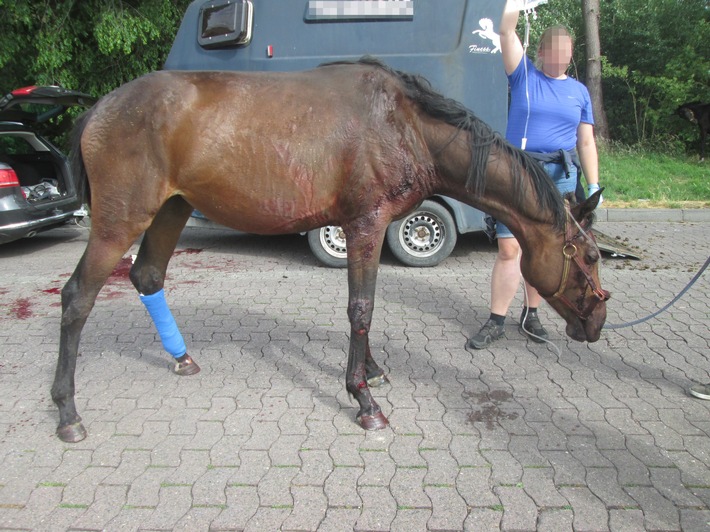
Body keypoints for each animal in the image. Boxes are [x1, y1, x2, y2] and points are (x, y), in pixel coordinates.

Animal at [52, 58, 608, 442]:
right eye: (591, 257)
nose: (597, 324)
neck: (404, 125)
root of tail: (99, 109)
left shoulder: (366, 229)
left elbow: (364, 309)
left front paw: (373, 372)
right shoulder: (365, 225)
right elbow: (361, 307)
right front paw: (364, 399)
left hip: (171, 209)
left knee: (147, 275)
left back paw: (182, 358)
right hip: (119, 222)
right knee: (77, 297)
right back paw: (67, 414)